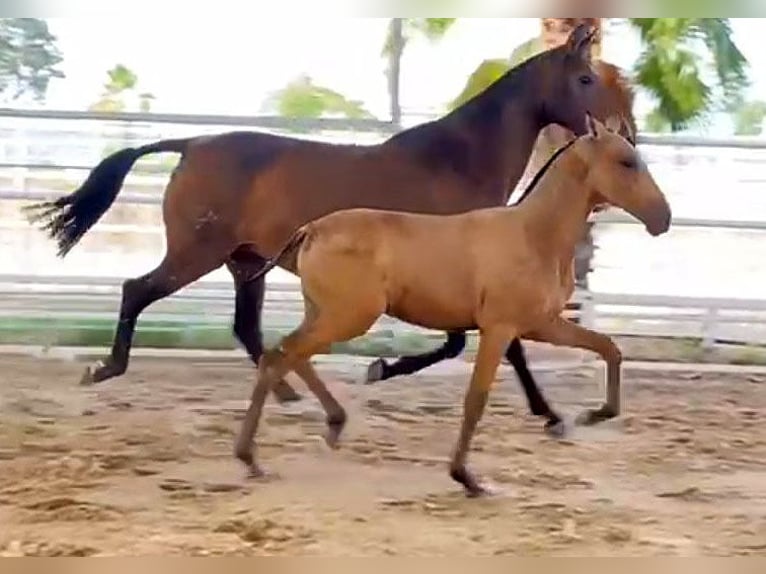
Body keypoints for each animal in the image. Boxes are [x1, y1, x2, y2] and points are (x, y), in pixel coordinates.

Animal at [22, 25, 600, 414]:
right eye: (586, 78)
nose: (607, 130)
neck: (455, 161)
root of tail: (191, 144)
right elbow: (491, 346)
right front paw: (548, 414)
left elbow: (485, 345)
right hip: (197, 252)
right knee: (136, 290)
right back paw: (104, 369)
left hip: (244, 262)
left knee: (246, 328)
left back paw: (284, 391)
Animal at [232, 115, 672, 498]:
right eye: (626, 161)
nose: (662, 218)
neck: (533, 234)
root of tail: (311, 230)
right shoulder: (500, 327)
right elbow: (476, 399)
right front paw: (467, 478)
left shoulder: (542, 323)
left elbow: (609, 348)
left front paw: (592, 415)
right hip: (348, 318)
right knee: (279, 357)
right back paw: (251, 457)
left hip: (327, 314)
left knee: (288, 354)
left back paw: (328, 426)